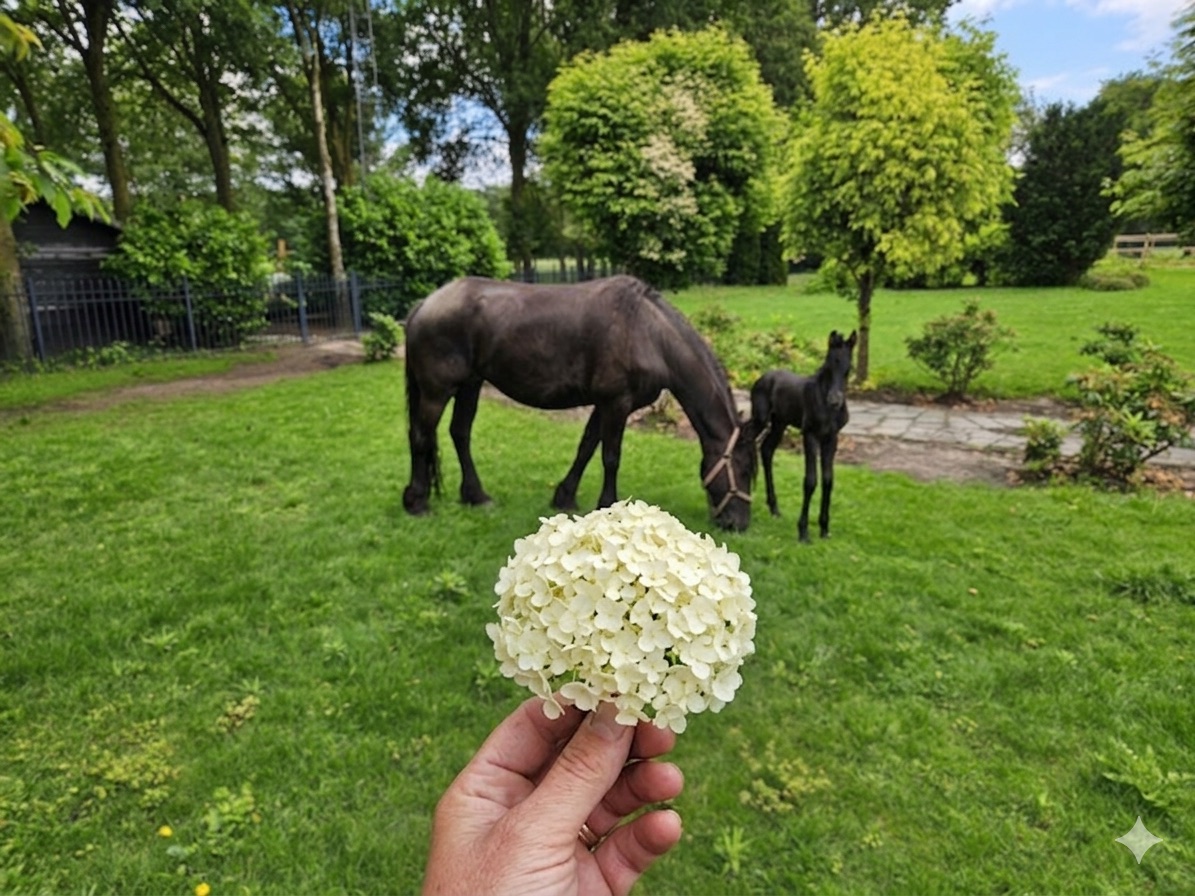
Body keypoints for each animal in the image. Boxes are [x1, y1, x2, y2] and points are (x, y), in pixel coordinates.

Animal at [401, 275, 757, 531]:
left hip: (470, 386)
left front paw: (564, 497)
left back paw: (476, 497)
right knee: (421, 436)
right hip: (437, 390)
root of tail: (424, 304)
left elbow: (586, 447)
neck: (648, 333)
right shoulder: (616, 402)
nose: (737, 524)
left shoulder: (605, 404)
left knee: (460, 433)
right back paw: (417, 503)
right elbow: (610, 457)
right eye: (742, 468)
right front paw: (608, 504)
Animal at [750, 330, 857, 542]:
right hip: (761, 419)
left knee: (766, 450)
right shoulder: (810, 435)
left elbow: (828, 480)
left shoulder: (831, 438)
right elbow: (810, 481)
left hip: (779, 423)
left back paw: (774, 508)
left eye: (848, 368)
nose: (834, 401)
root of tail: (763, 377)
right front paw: (803, 531)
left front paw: (824, 529)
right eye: (829, 365)